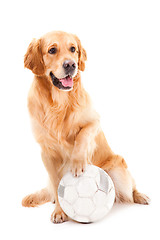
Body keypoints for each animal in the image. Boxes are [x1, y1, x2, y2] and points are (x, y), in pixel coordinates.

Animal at [21, 31, 149, 223]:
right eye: (52, 50)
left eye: (73, 49)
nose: (71, 65)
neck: (59, 103)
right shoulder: (46, 152)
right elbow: (56, 182)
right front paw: (60, 211)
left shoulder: (94, 121)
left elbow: (83, 135)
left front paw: (77, 162)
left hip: (119, 171)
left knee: (130, 188)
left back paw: (140, 196)